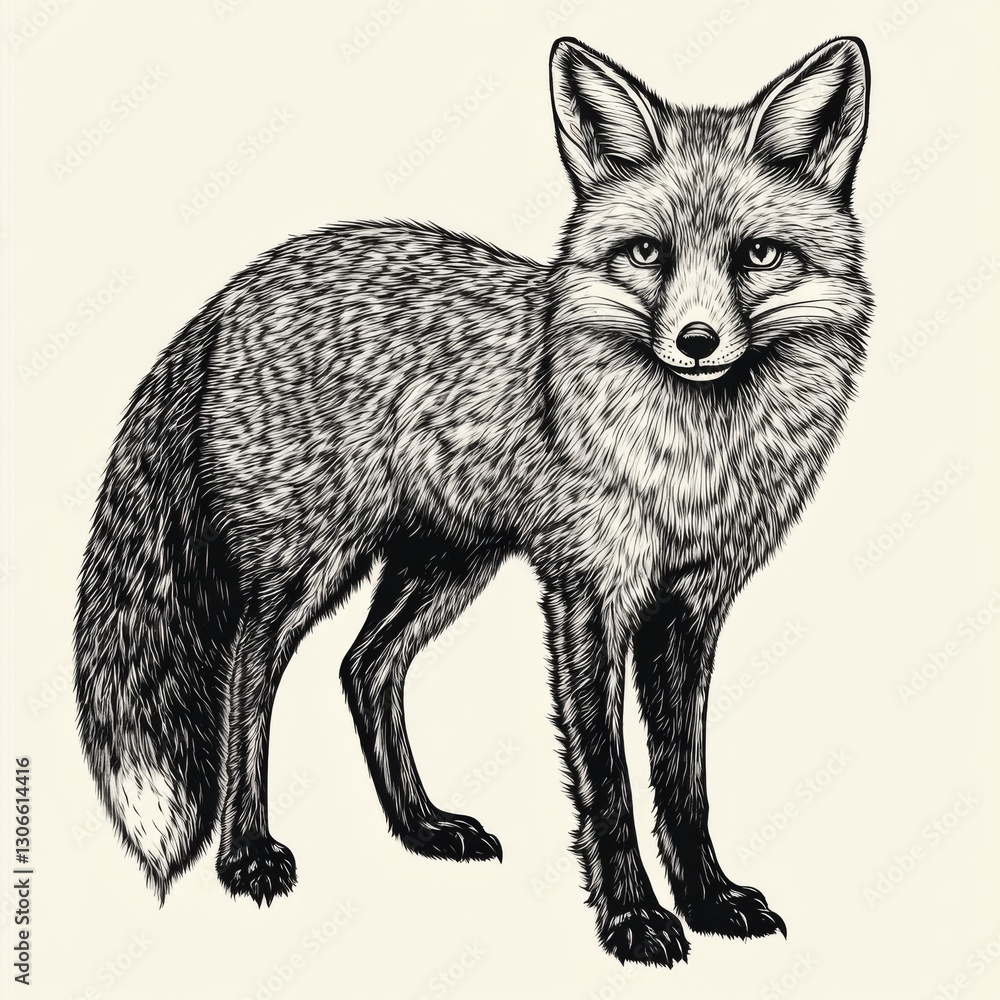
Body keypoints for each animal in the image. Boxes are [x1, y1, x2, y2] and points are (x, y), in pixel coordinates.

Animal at [74, 35, 872, 966]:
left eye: (759, 256)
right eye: (647, 254)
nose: (697, 341)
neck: (690, 463)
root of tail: (235, 288)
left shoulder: (692, 605)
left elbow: (684, 783)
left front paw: (709, 900)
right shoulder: (587, 594)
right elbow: (609, 783)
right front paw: (633, 919)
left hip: (449, 565)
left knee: (363, 668)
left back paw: (420, 827)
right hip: (311, 562)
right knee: (246, 670)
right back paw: (246, 853)